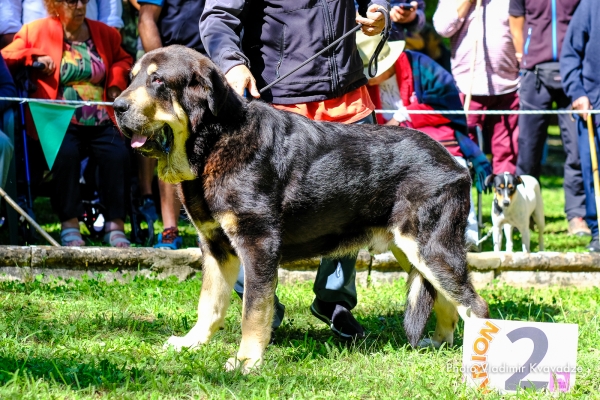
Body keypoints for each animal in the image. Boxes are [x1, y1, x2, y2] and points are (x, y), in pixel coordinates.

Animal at [112, 46, 488, 372]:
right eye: (133, 78)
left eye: (158, 80)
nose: (116, 106)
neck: (214, 142)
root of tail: (454, 162)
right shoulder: (217, 247)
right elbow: (210, 306)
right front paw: (191, 343)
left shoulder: (258, 244)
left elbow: (253, 311)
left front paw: (246, 361)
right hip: (410, 250)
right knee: (447, 300)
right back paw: (438, 343)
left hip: (430, 247)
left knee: (475, 305)